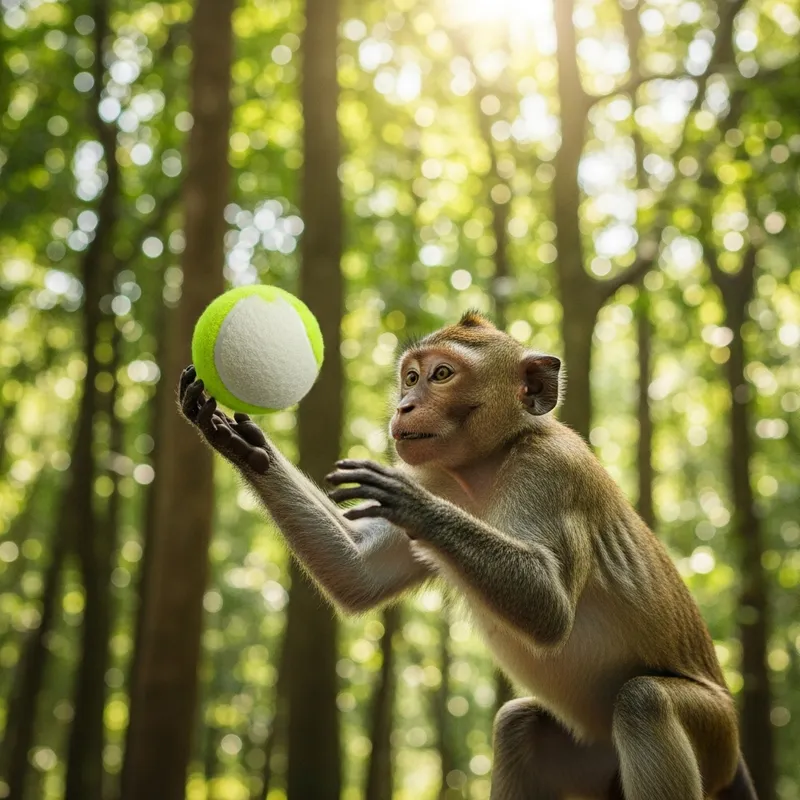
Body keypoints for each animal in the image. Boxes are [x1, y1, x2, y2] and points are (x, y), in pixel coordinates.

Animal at [178, 310, 757, 800]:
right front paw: (241, 443)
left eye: (441, 375)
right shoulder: (436, 472)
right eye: (410, 377)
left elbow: (550, 609)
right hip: (593, 765)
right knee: (519, 726)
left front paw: (410, 503)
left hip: (713, 736)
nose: (404, 406)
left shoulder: (552, 471)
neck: (485, 464)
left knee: (644, 703)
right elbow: (357, 576)